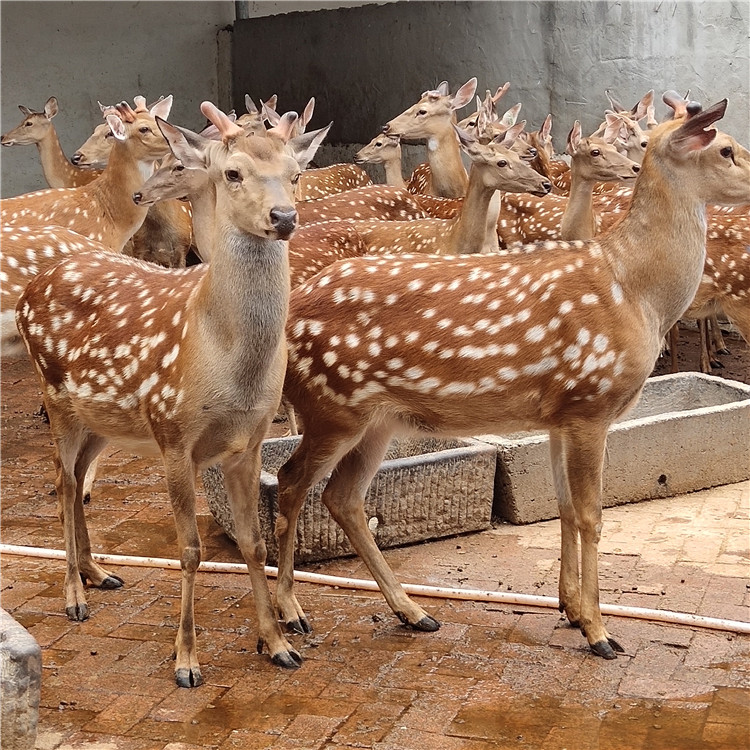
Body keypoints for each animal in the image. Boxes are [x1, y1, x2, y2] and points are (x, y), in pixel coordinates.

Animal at [15, 103, 308, 692]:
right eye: (232, 172)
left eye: (295, 173)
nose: (284, 217)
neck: (221, 355)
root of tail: (28, 292)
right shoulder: (174, 435)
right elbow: (190, 551)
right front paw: (186, 661)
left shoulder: (248, 442)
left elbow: (255, 542)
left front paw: (276, 643)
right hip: (54, 394)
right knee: (62, 483)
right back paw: (74, 596)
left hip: (103, 419)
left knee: (76, 478)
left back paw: (99, 572)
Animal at [274, 94, 750, 664]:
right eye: (724, 149)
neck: (637, 292)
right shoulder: (591, 403)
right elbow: (591, 515)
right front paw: (600, 632)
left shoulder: (560, 416)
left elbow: (565, 508)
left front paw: (570, 610)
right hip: (332, 406)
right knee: (289, 483)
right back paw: (286, 625)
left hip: (378, 419)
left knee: (341, 497)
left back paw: (412, 612)